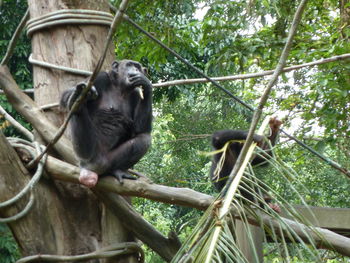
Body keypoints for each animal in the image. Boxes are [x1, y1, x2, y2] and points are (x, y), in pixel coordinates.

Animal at [59, 59, 152, 188]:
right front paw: (79, 92)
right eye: (129, 65)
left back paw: (117, 171)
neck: (120, 88)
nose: (136, 69)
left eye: (137, 66)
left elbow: (140, 129)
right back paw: (77, 101)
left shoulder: (136, 94)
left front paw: (146, 83)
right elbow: (66, 96)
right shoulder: (100, 77)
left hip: (108, 162)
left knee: (144, 139)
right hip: (86, 156)